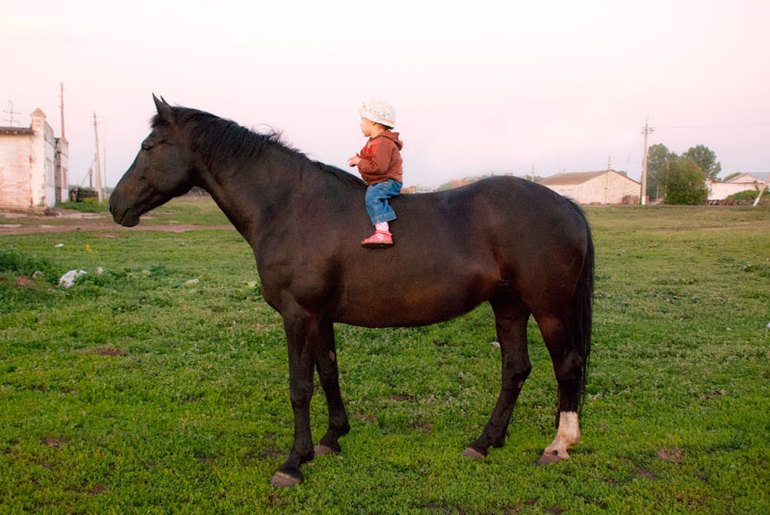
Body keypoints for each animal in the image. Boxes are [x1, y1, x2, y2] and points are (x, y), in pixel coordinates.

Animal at [110, 95, 594, 488]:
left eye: (148, 146)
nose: (116, 205)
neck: (290, 207)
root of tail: (565, 204)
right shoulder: (320, 317)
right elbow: (329, 374)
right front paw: (330, 439)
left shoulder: (298, 315)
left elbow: (300, 386)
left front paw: (293, 463)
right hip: (509, 305)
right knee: (515, 369)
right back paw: (484, 442)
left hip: (549, 309)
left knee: (567, 366)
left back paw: (559, 446)